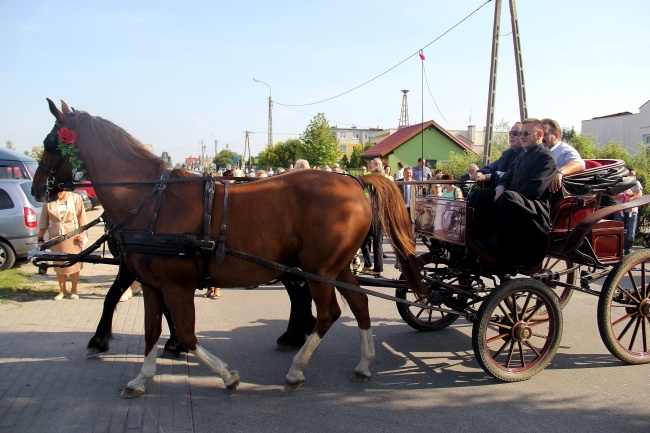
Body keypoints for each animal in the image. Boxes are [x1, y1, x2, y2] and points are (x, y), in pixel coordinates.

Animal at [33, 99, 426, 396]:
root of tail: (356, 181)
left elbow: (187, 334)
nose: (38, 189)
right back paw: (363, 364)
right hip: (336, 267)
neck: (152, 201)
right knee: (359, 304)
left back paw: (296, 369)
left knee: (329, 313)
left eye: (51, 143)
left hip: (318, 271)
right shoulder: (153, 285)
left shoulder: (176, 286)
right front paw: (142, 377)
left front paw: (226, 375)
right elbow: (151, 331)